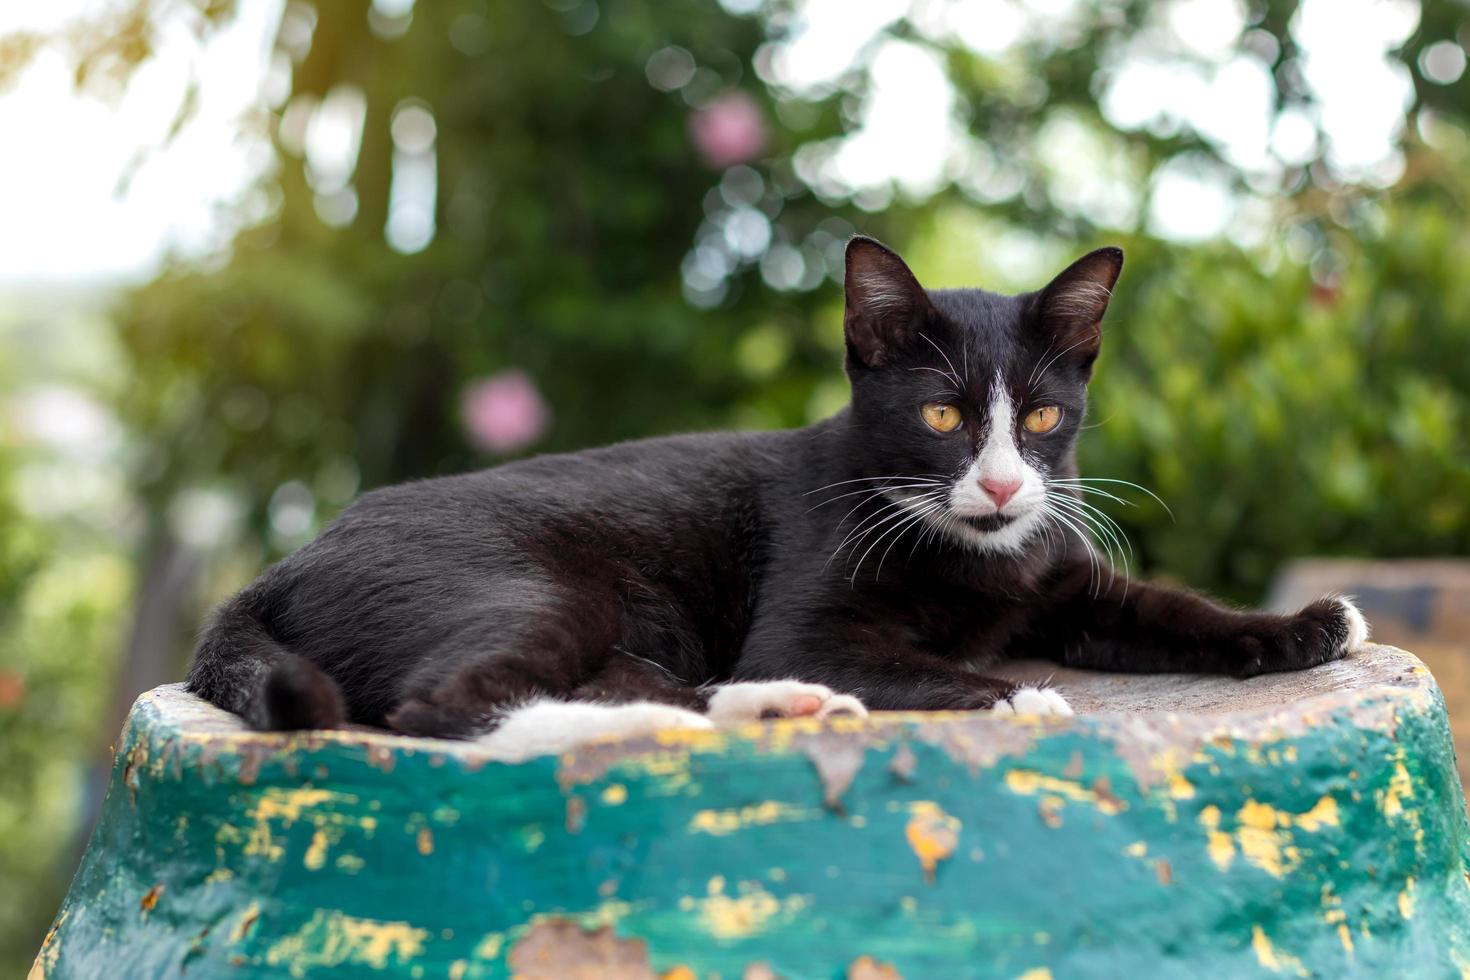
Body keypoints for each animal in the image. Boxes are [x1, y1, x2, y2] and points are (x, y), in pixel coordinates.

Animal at [189, 235, 1370, 758]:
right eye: (940, 415)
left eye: (1041, 419)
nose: (1000, 483)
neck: (976, 555)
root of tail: (278, 567)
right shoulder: (805, 609)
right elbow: (914, 662)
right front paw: (1018, 696)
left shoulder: (1064, 576)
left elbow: (1167, 608)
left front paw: (1309, 626)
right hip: (523, 586)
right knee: (442, 707)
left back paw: (772, 706)